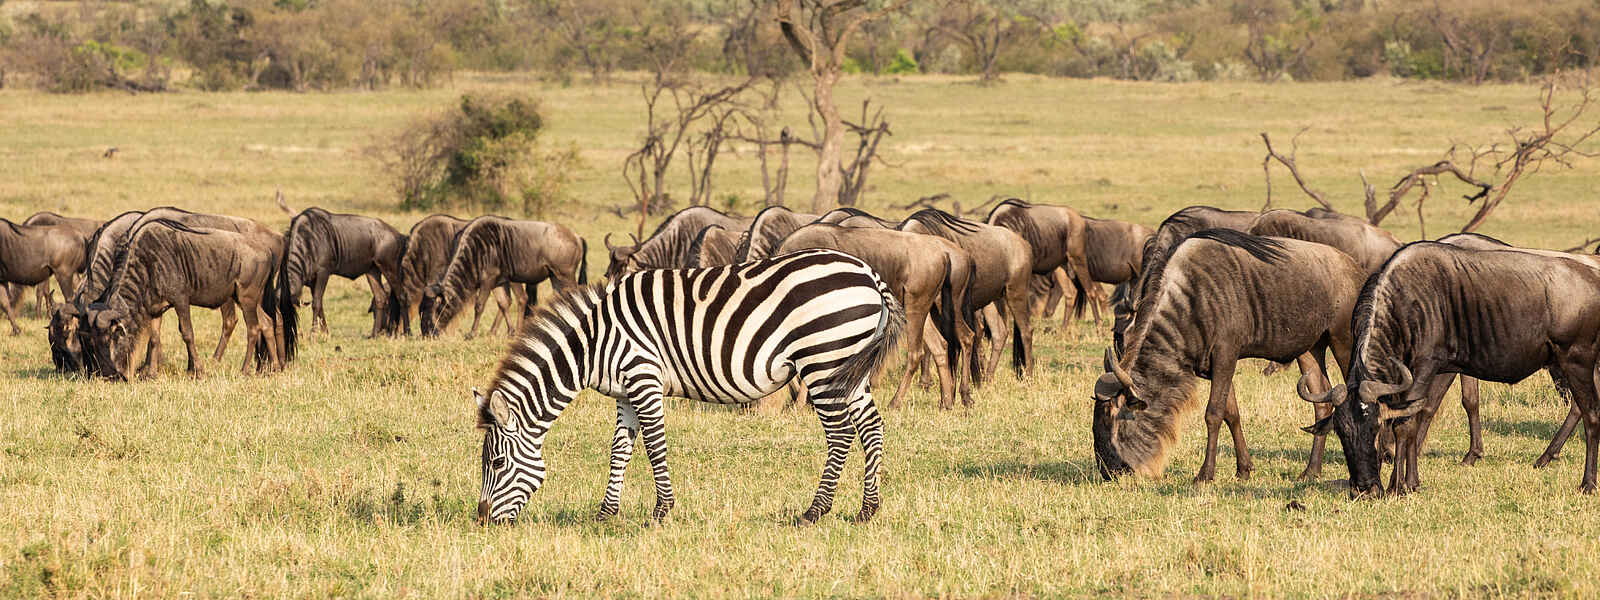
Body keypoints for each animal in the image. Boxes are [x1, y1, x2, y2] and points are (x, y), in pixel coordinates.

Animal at [474, 248, 906, 525]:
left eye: (496, 463)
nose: (481, 521)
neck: (593, 342)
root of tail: (868, 273)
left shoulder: (643, 376)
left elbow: (654, 445)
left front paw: (661, 511)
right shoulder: (625, 391)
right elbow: (619, 450)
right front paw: (605, 514)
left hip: (824, 361)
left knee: (841, 433)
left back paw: (815, 511)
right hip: (851, 366)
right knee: (871, 427)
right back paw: (868, 510)